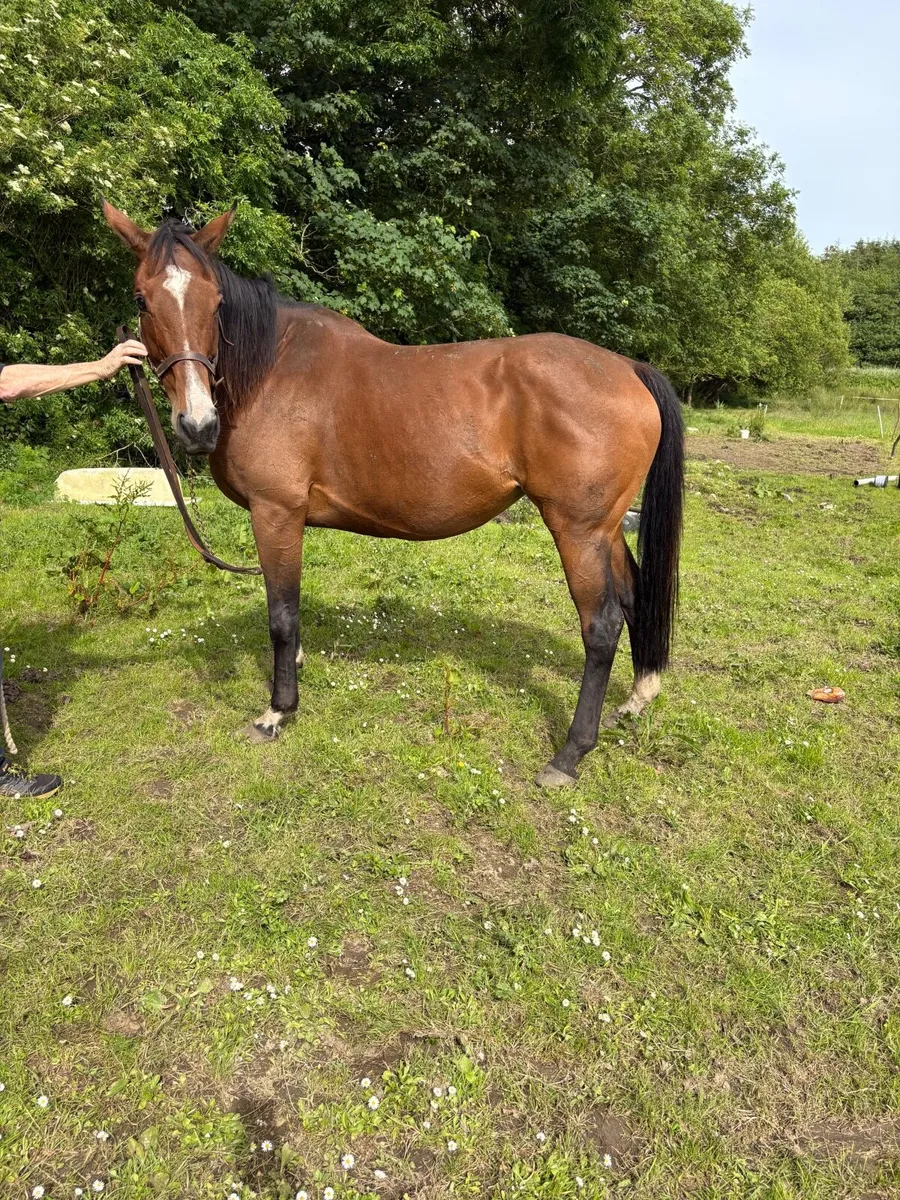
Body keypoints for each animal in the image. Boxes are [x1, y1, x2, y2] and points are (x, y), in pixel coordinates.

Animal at [102, 202, 683, 788]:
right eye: (142, 299)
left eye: (215, 302)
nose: (197, 425)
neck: (269, 370)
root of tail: (628, 368)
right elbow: (288, 605)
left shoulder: (275, 512)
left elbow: (281, 614)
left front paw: (277, 710)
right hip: (605, 530)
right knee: (634, 596)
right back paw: (636, 700)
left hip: (579, 531)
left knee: (601, 626)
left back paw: (569, 754)